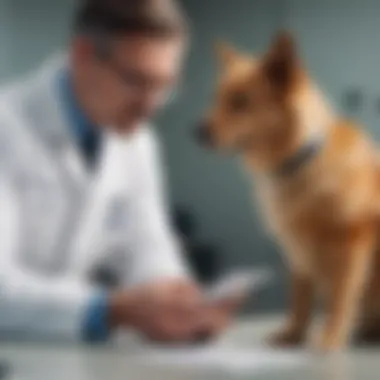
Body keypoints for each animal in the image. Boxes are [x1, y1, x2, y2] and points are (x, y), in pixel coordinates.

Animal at [197, 31, 380, 352]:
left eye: (241, 102)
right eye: (216, 99)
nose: (196, 131)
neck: (300, 161)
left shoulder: (351, 245)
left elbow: (340, 298)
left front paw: (331, 336)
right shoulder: (298, 251)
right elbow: (300, 299)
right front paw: (293, 335)